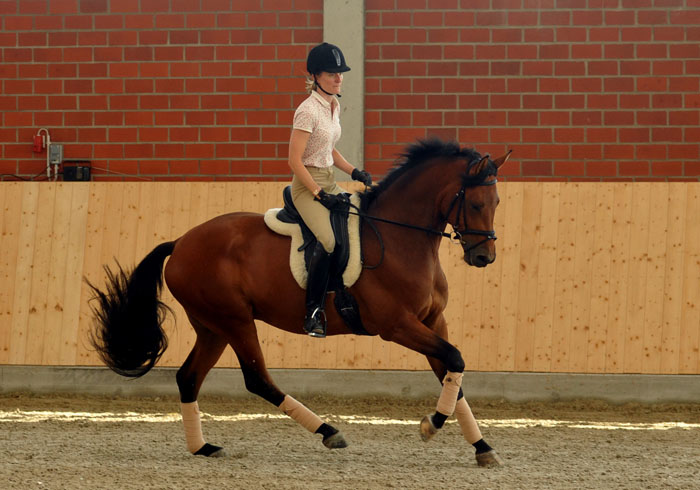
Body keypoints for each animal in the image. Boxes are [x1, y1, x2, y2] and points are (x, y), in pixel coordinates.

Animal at [90, 139, 512, 468]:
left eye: (496, 201)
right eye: (476, 204)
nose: (484, 257)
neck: (398, 238)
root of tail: (180, 243)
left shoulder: (433, 320)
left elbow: (452, 372)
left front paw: (483, 448)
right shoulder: (397, 326)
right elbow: (455, 360)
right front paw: (430, 425)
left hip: (212, 326)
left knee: (189, 377)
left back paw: (203, 448)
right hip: (235, 321)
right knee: (257, 378)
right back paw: (329, 431)